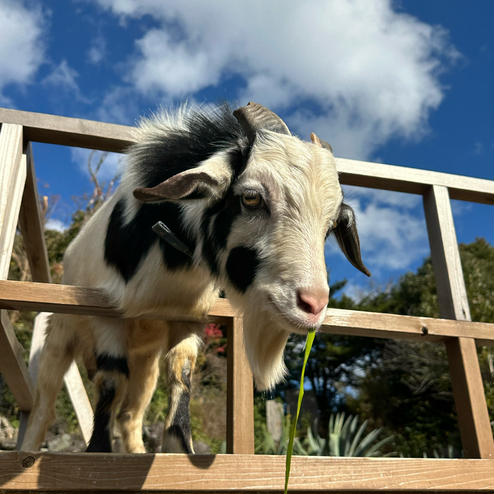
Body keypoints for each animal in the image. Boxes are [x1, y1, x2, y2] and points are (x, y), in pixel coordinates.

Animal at [23, 102, 370, 454]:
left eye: (331, 225)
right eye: (251, 198)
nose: (313, 305)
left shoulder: (187, 318)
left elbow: (182, 367)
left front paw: (179, 445)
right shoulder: (106, 317)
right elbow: (111, 382)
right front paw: (97, 451)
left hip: (145, 361)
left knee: (130, 414)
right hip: (60, 335)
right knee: (44, 406)